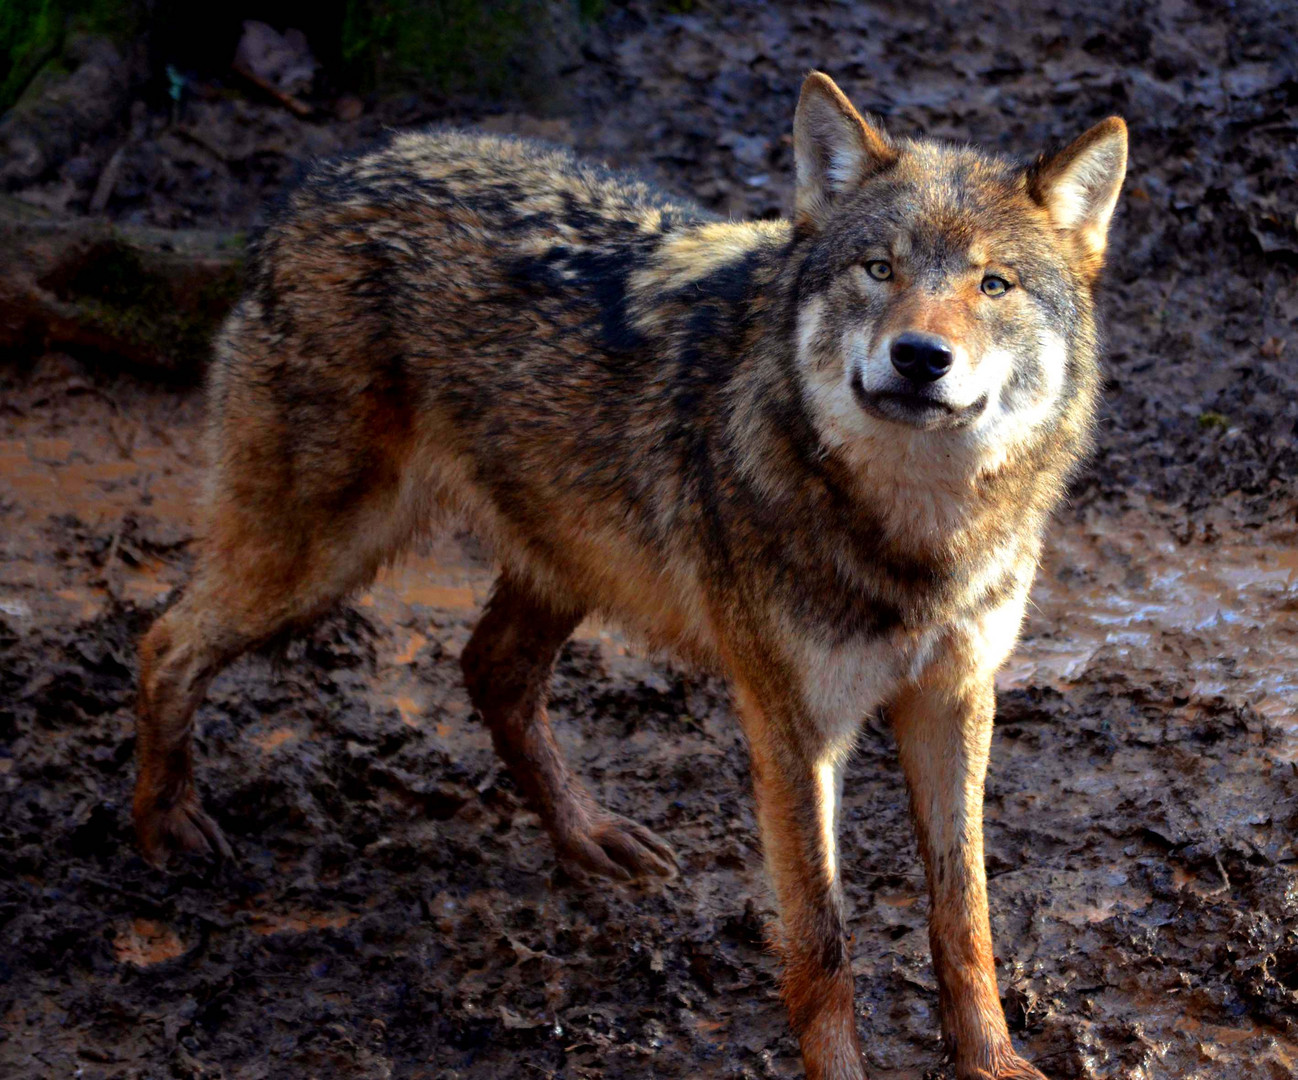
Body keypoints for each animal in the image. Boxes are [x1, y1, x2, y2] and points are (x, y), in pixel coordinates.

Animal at [134, 71, 1126, 1074]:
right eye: (878, 269)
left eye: (991, 284)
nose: (920, 357)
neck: (916, 534)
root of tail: (323, 178)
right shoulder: (793, 727)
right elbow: (822, 940)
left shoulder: (954, 698)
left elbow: (965, 915)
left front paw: (993, 1061)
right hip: (323, 560)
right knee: (163, 638)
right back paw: (163, 826)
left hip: (559, 559)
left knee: (489, 671)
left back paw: (589, 838)